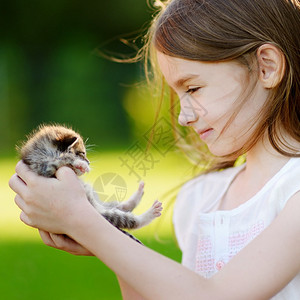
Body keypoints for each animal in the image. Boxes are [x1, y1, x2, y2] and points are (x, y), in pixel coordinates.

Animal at [17, 124, 163, 239]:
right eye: (82, 153)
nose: (88, 162)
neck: (41, 152)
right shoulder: (43, 167)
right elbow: (61, 159)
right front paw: (79, 164)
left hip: (98, 204)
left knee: (120, 206)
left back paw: (138, 194)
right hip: (101, 212)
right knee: (130, 219)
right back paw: (150, 213)